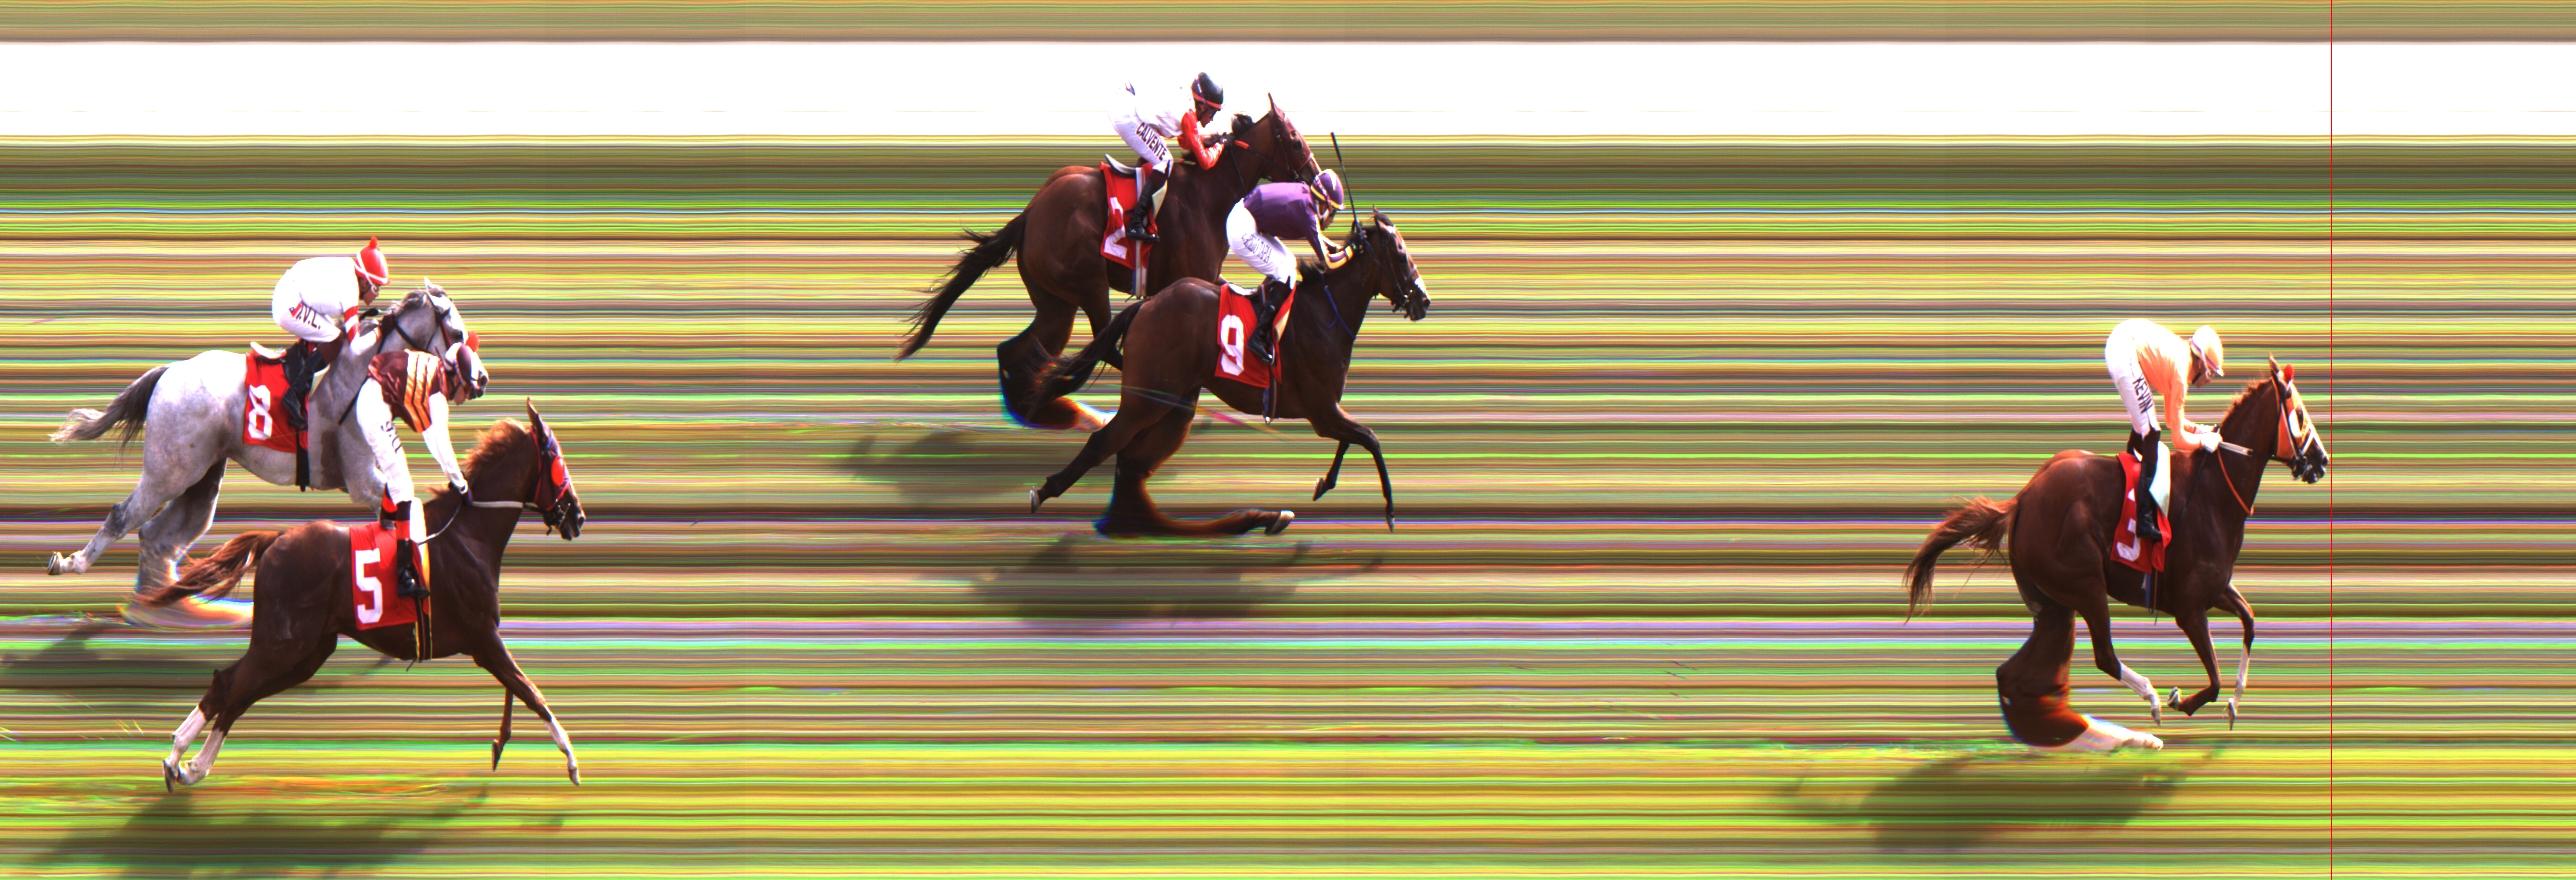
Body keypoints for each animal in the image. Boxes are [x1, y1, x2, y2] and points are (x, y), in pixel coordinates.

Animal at [45, 283, 483, 614]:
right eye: (460, 336)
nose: (481, 378)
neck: (367, 372)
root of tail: (169, 371)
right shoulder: (362, 481)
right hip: (168, 472)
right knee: (124, 516)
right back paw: (72, 565)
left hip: (201, 477)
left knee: (159, 535)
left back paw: (164, 607)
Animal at [149, 402, 587, 788]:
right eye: (558, 459)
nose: (578, 516)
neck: (469, 534)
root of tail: (276, 539)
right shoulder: (482, 637)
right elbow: (530, 690)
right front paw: (571, 760)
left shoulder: (486, 638)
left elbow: (516, 688)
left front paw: (500, 744)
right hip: (282, 643)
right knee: (229, 684)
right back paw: (177, 757)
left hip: (308, 652)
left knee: (237, 694)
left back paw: (192, 767)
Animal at [894, 100, 1325, 431]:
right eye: (1294, 138)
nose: (1318, 182)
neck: (1209, 194)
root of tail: (1030, 214)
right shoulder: (1187, 279)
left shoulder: (1203, 279)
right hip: (1087, 284)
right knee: (1100, 347)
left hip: (1056, 305)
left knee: (1015, 350)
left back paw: (1041, 410)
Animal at [1026, 210, 1430, 537]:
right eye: (1400, 253)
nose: (1424, 301)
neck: (1326, 314)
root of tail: (1147, 305)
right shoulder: (1321, 412)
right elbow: (1371, 438)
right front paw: (1390, 511)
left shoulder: (1328, 409)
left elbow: (1353, 440)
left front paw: (1322, 484)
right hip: (1147, 400)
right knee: (1105, 443)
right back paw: (1044, 492)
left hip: (1176, 403)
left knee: (1131, 464)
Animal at [1903, 358, 2330, 751]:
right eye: (2300, 414)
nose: (2322, 460)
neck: (2213, 492)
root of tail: (2021, 500)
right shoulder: (2189, 607)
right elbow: (2213, 678)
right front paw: (2180, 700)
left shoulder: (2215, 589)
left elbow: (2250, 620)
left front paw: (2234, 704)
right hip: (2084, 584)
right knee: (2102, 657)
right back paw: (2143, 714)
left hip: (2054, 607)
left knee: (2017, 678)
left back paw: (2104, 737)